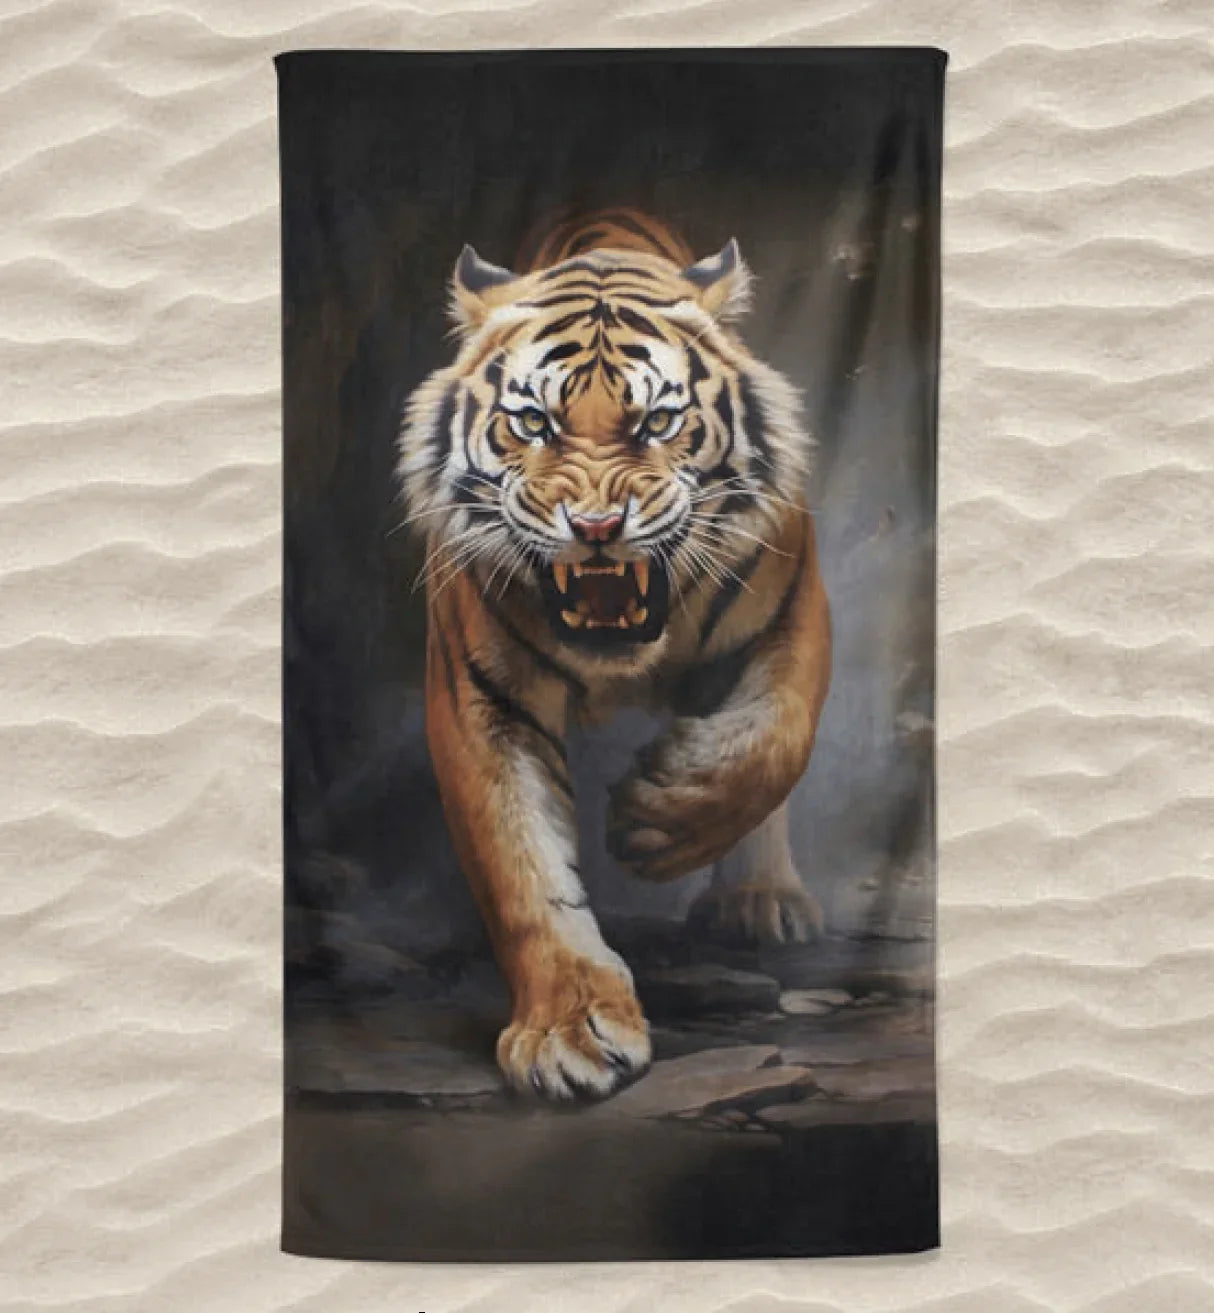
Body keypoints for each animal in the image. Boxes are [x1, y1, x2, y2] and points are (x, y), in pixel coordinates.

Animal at [398, 209, 831, 1102]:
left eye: (657, 422)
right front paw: (570, 1030)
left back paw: (761, 900)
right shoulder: (480, 698)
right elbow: (523, 870)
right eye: (533, 422)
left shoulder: (795, 614)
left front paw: (657, 820)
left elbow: (772, 745)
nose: (596, 527)